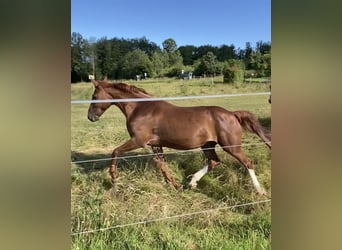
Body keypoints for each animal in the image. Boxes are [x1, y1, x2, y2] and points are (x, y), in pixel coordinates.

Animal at [87, 80, 272, 195]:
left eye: (94, 97)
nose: (90, 117)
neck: (141, 108)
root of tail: (232, 114)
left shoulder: (139, 140)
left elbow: (115, 151)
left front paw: (113, 180)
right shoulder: (155, 145)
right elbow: (162, 166)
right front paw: (176, 186)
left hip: (231, 146)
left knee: (247, 162)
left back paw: (259, 190)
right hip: (208, 145)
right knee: (214, 161)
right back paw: (192, 183)